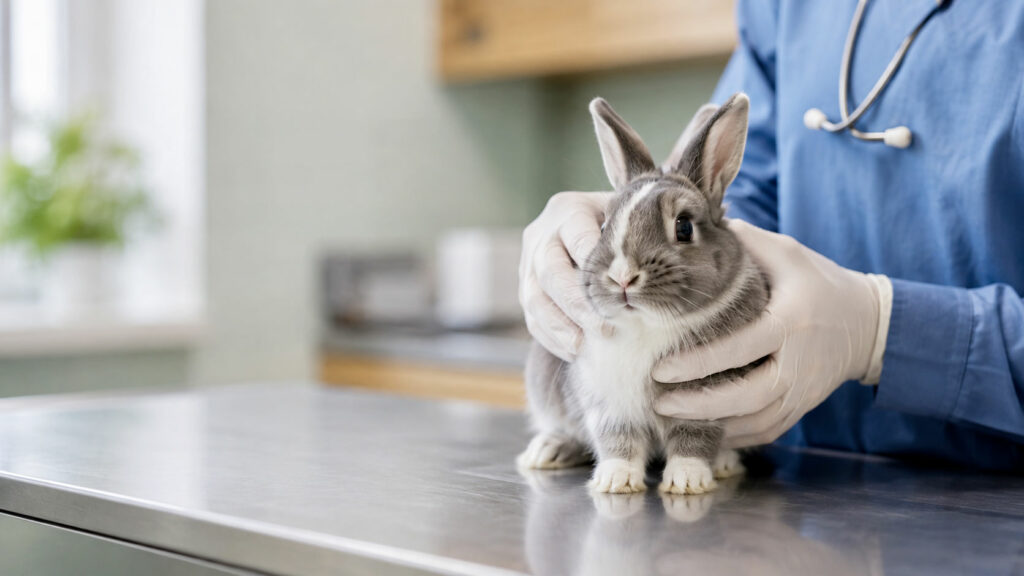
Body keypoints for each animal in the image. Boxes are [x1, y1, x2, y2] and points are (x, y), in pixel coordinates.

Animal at [517, 93, 769, 494]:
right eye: (603, 224)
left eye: (684, 227)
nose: (622, 277)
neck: (646, 326)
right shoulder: (607, 400)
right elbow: (618, 440)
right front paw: (615, 480)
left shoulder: (706, 403)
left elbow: (693, 440)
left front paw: (687, 480)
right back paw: (547, 451)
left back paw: (725, 463)